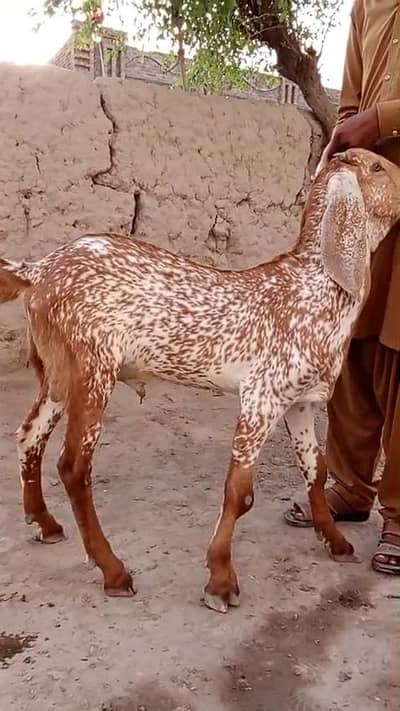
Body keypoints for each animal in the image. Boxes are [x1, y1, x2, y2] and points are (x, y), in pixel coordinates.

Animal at [1, 148, 400, 613]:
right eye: (378, 167)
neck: (314, 289)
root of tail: (38, 270)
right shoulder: (261, 397)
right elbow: (240, 493)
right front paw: (221, 580)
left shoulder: (300, 401)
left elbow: (315, 471)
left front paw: (335, 541)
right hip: (92, 370)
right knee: (73, 467)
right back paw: (113, 570)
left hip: (59, 372)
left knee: (29, 435)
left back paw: (44, 523)